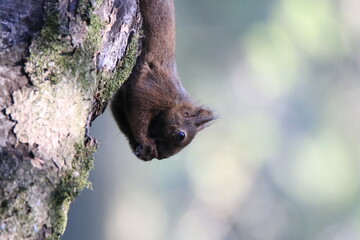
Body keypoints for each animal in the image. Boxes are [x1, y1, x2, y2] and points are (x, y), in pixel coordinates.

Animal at [110, 0, 214, 161]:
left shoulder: (120, 101)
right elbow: (138, 113)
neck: (173, 103)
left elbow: (119, 112)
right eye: (181, 135)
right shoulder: (152, 90)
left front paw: (142, 150)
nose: (161, 156)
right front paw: (146, 142)